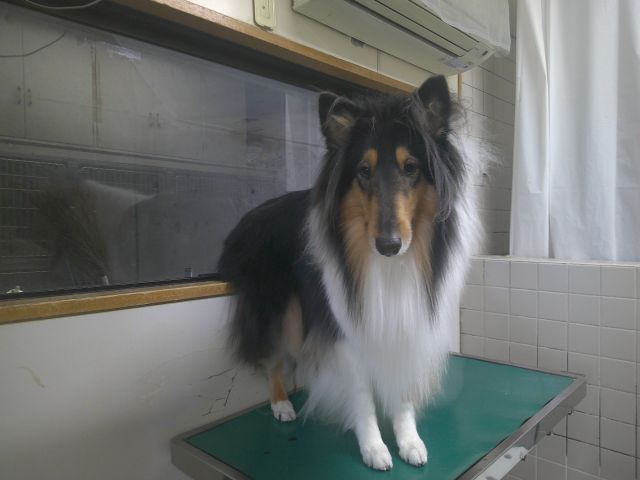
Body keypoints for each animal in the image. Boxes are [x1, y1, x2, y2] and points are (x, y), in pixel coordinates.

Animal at [218, 75, 480, 470]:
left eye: (411, 167)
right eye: (364, 171)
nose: (388, 244)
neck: (389, 267)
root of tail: (254, 213)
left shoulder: (408, 322)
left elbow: (401, 392)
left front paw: (408, 440)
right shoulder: (346, 327)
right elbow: (361, 394)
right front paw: (373, 447)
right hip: (282, 310)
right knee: (274, 360)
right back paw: (281, 404)